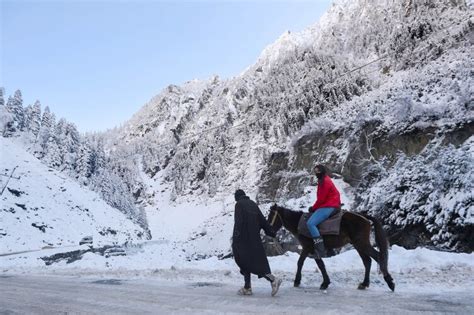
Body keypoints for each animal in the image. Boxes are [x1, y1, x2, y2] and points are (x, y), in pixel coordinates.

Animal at [266, 205, 396, 292]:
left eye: (271, 215)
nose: (268, 232)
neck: (299, 223)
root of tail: (364, 217)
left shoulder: (308, 247)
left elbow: (302, 263)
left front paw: (297, 281)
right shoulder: (313, 250)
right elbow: (320, 265)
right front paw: (325, 282)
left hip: (362, 243)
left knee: (378, 257)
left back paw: (389, 281)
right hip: (358, 245)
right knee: (367, 261)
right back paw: (364, 284)